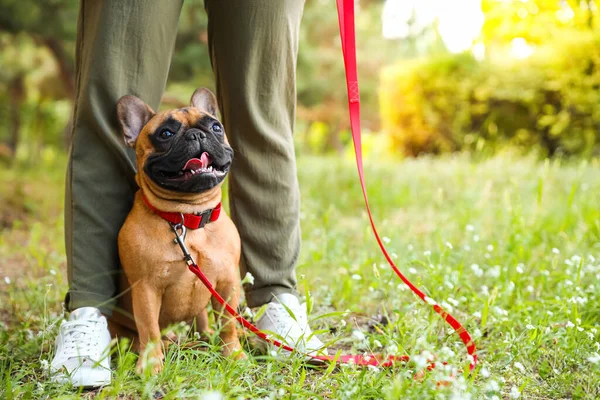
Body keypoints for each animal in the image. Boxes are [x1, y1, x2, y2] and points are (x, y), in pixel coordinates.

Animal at [110, 88, 244, 376]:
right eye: (166, 133)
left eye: (216, 127)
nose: (197, 134)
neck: (188, 217)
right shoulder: (146, 289)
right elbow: (149, 329)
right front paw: (151, 366)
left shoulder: (227, 283)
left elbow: (228, 323)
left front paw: (234, 354)